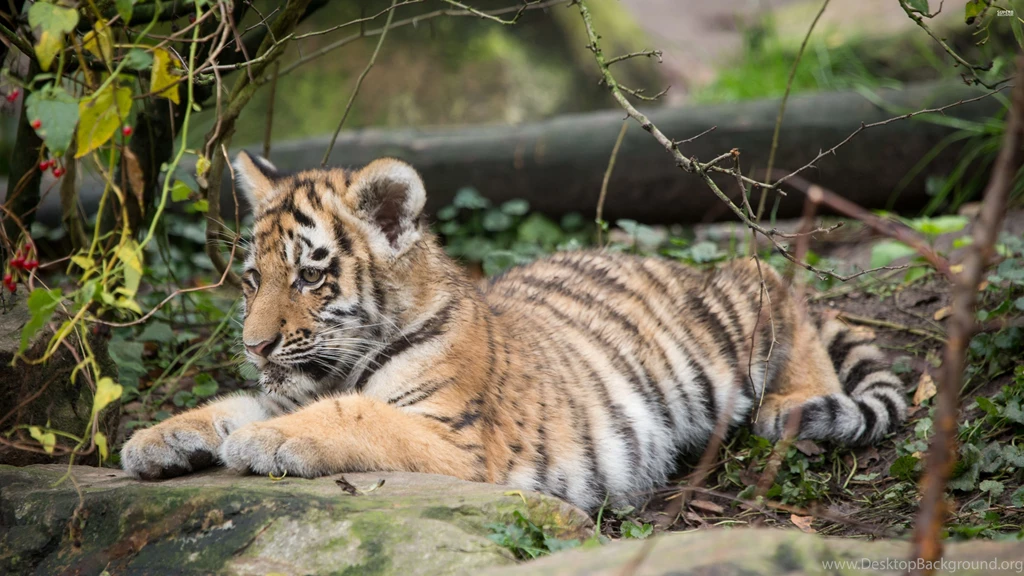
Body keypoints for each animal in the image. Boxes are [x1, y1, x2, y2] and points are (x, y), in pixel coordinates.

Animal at [120, 152, 908, 511]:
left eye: (311, 277)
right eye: (253, 280)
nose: (253, 346)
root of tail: (671, 264)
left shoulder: (457, 438)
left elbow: (354, 414)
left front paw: (265, 442)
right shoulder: (288, 384)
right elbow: (231, 404)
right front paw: (154, 440)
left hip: (738, 314)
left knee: (775, 280)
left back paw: (791, 401)